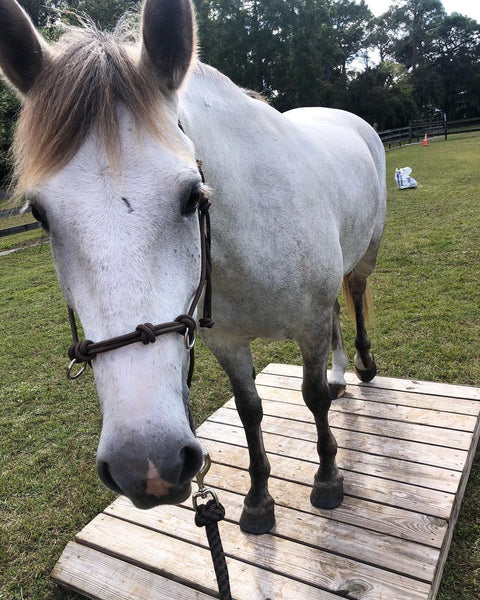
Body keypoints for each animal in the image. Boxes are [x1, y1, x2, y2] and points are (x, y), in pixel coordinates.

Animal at [0, 0, 382, 536]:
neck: (246, 243)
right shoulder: (227, 343)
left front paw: (327, 479)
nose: (147, 465)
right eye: (40, 215)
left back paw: (361, 367)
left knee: (356, 298)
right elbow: (249, 412)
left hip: (363, 257)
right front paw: (258, 501)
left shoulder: (306, 327)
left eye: (192, 196)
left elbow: (312, 399)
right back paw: (342, 372)